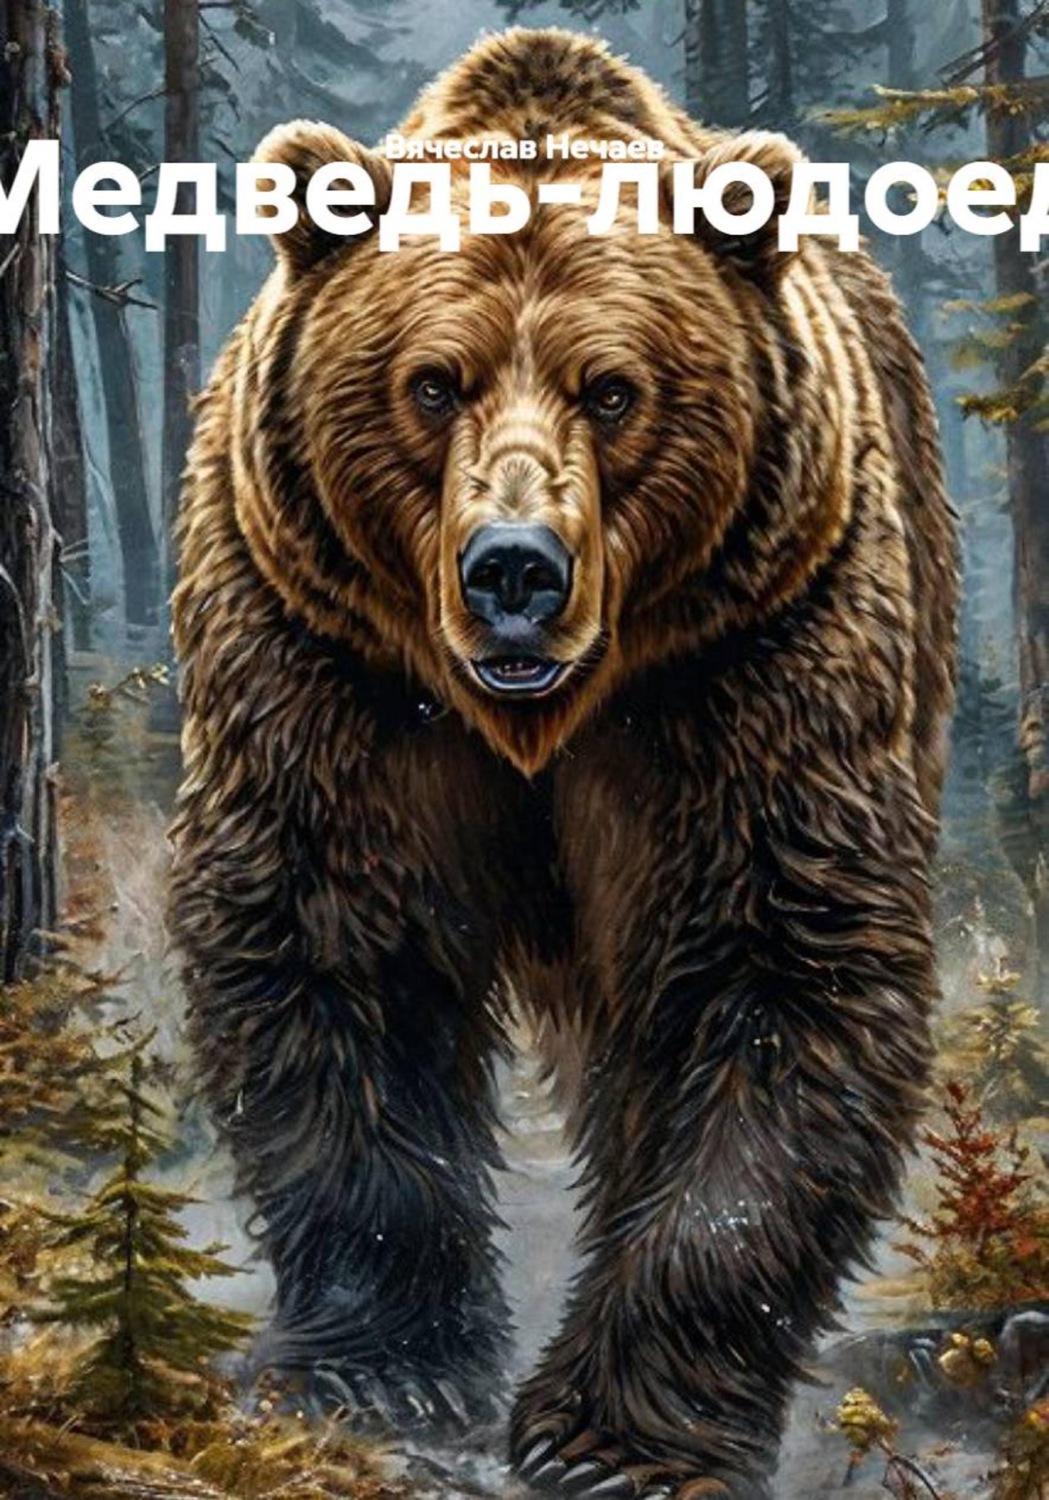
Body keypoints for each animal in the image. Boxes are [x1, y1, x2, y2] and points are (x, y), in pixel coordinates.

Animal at [167, 26, 959, 1500]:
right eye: (432, 381)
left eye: (613, 387)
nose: (514, 572)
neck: (535, 721)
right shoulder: (327, 654)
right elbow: (329, 940)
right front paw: (384, 1365)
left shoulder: (744, 662)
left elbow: (770, 966)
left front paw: (616, 1437)